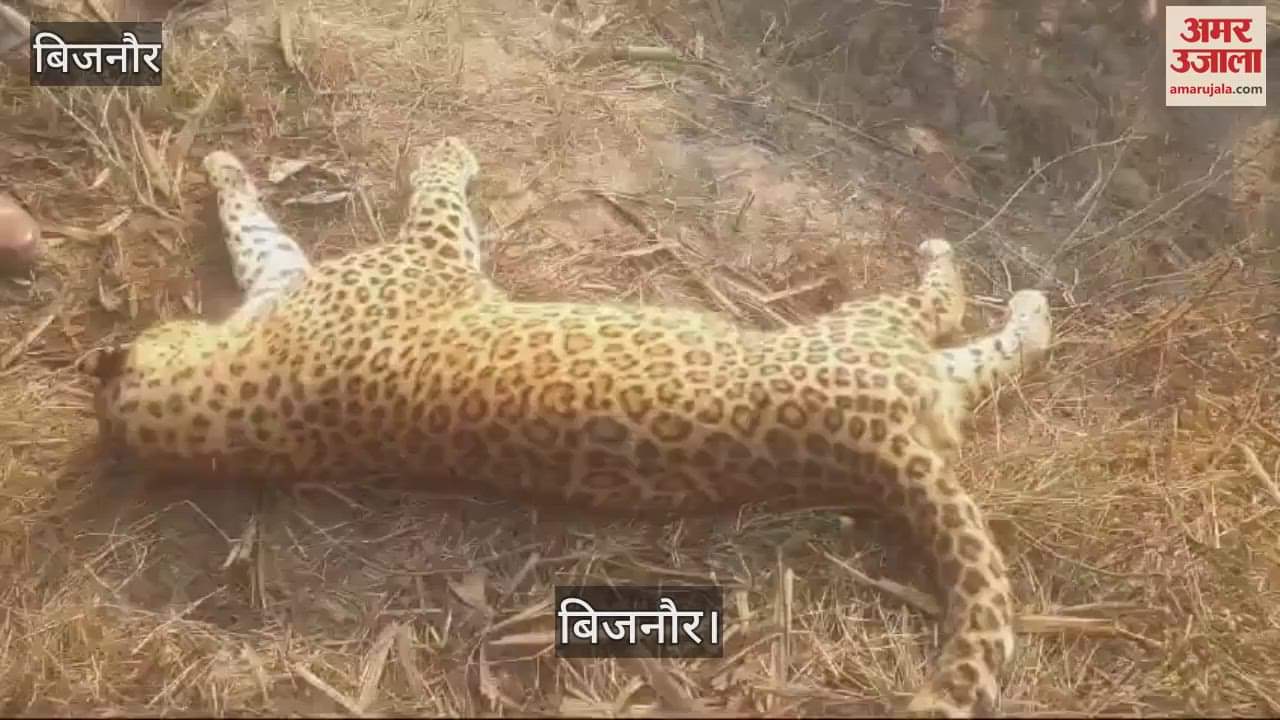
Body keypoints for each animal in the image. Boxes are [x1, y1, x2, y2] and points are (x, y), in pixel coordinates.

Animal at [76, 136, 1054, 718]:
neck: (243, 408)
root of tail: (884, 453)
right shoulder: (425, 254)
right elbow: (432, 197)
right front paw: (448, 150)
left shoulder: (291, 279)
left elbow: (255, 232)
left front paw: (222, 169)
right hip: (865, 335)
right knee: (950, 310)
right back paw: (995, 283)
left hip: (904, 375)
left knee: (982, 350)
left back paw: (1023, 304)